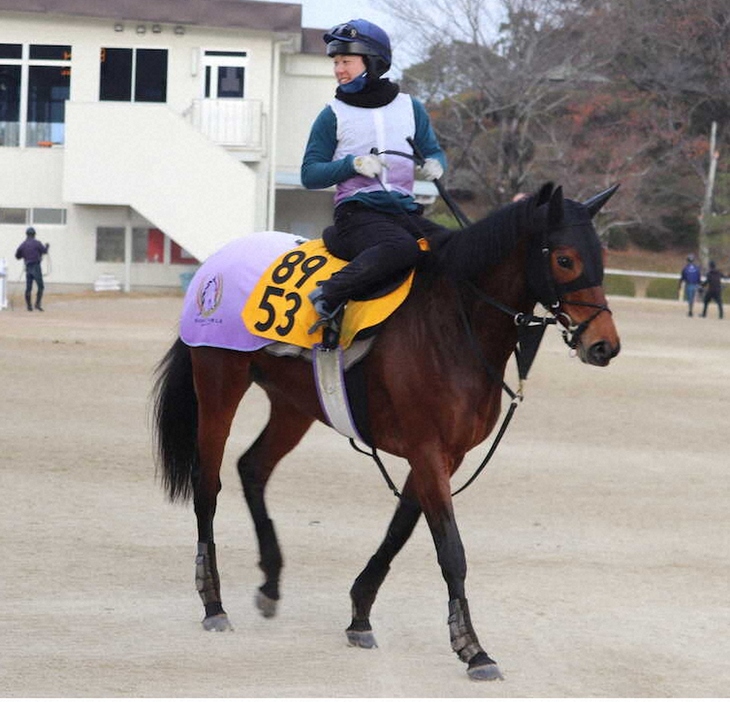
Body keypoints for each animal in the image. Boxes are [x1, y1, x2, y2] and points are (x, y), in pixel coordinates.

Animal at [154, 182, 620, 680]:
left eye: (600, 256)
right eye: (565, 259)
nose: (604, 345)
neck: (454, 322)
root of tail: (216, 264)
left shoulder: (443, 455)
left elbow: (400, 531)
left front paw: (360, 615)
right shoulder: (428, 449)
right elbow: (451, 549)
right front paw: (472, 647)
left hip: (294, 405)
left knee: (252, 468)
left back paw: (271, 582)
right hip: (219, 385)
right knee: (208, 485)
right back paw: (213, 602)